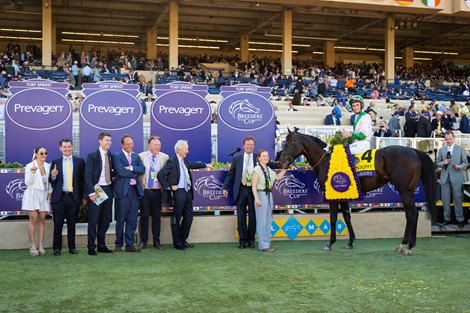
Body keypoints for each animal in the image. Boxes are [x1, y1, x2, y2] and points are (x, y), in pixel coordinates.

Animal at [280, 128, 436, 255]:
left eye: (287, 144)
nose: (280, 162)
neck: (326, 161)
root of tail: (414, 151)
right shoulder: (342, 197)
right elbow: (347, 217)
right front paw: (350, 242)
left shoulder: (332, 197)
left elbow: (333, 218)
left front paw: (330, 243)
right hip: (408, 192)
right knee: (409, 214)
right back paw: (403, 244)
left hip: (404, 191)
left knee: (413, 214)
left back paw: (409, 246)